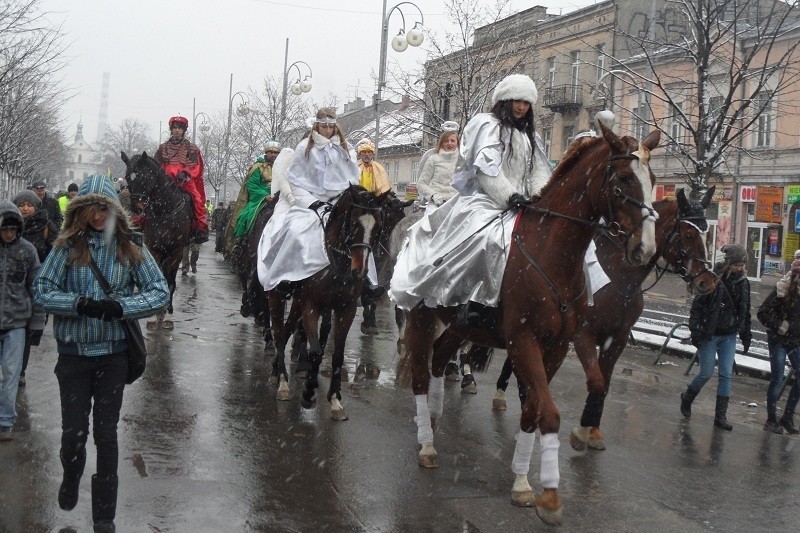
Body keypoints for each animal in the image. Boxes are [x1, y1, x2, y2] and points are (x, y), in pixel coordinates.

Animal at [120, 150, 192, 330]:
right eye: (127, 178)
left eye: (144, 177)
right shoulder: (154, 248)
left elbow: (170, 281)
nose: (137, 209)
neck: (165, 211)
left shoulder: (175, 251)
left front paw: (168, 314)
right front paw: (155, 315)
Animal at [268, 185, 390, 422]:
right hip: (276, 297)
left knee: (286, 330)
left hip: (297, 303)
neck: (338, 265)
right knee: (278, 332)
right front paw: (308, 394)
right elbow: (316, 351)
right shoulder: (311, 306)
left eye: (378, 227)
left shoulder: (346, 309)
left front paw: (334, 399)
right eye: (354, 224)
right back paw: (283, 382)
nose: (359, 272)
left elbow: (337, 354)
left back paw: (277, 370)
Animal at [404, 125, 660, 524]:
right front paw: (550, 496)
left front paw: (523, 482)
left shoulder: (556, 347)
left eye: (654, 180)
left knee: (439, 360)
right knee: (418, 375)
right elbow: (549, 414)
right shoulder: (524, 341)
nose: (645, 249)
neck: (553, 255)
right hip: (420, 317)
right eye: (622, 179)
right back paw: (427, 444)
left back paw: (434, 415)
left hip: (460, 327)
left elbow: (532, 410)